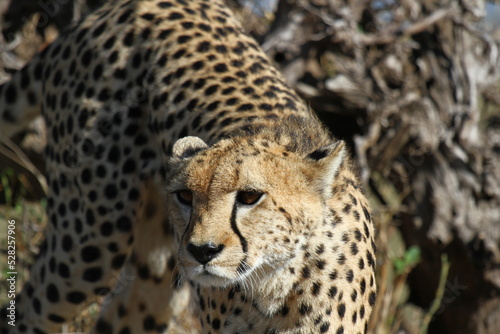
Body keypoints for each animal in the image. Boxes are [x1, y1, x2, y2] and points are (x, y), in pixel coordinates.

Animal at [0, 0, 376, 334]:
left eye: (250, 197)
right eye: (185, 196)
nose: (201, 250)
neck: (273, 281)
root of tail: (122, 7)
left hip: (152, 268)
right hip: (89, 240)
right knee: (29, 309)